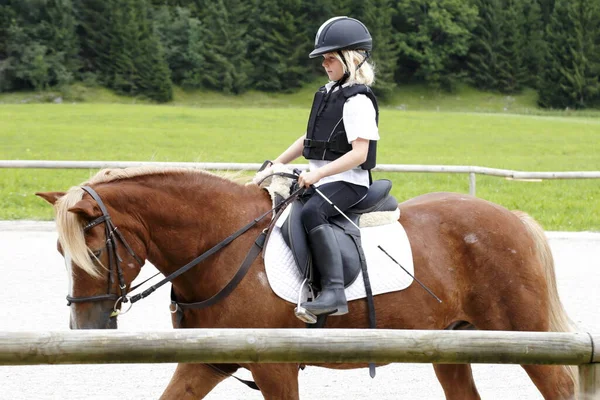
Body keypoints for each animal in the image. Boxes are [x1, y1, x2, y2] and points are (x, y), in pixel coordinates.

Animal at [36, 167, 576, 398]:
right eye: (61, 253)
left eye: (95, 250)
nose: (86, 331)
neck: (220, 244)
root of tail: (512, 218)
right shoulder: (207, 361)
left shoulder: (275, 367)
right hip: (451, 345)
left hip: (525, 336)